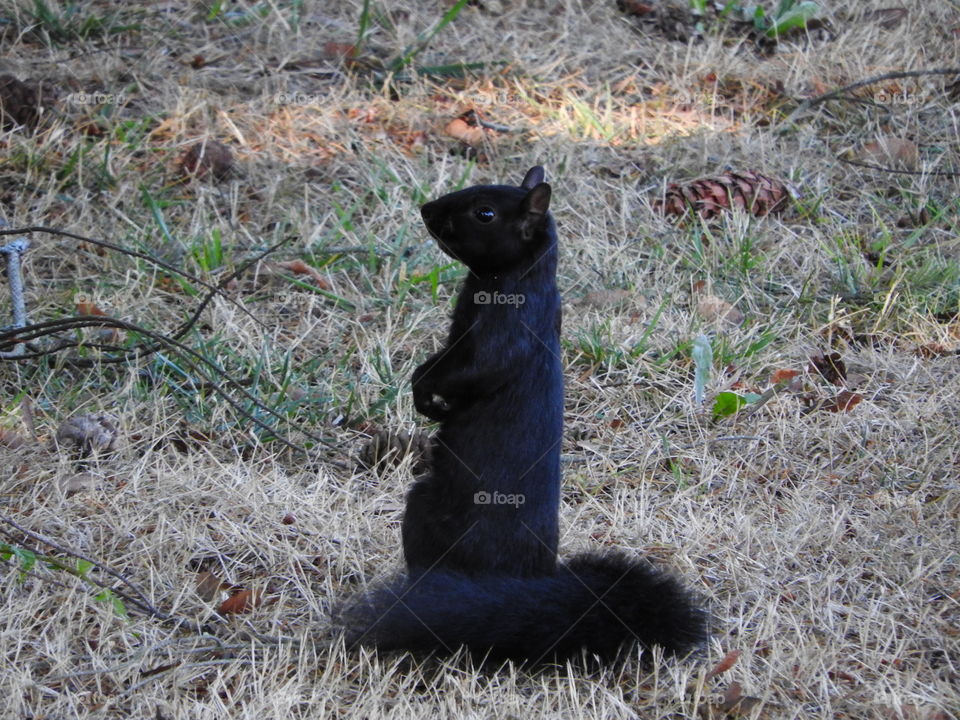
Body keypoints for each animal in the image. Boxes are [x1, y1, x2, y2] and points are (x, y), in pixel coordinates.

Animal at [339, 167, 708, 663]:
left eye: (485, 214)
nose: (427, 210)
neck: (507, 280)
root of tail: (526, 589)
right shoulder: (456, 337)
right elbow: (436, 362)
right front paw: (421, 392)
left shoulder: (505, 332)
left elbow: (473, 371)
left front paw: (430, 397)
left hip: (428, 515)